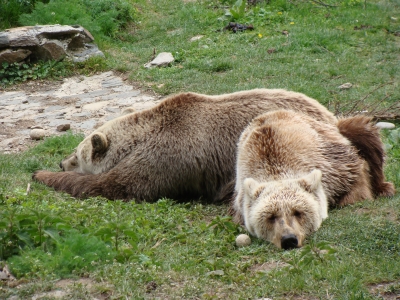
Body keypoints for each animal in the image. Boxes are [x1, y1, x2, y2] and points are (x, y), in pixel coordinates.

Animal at [32, 88, 338, 202]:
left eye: (76, 155)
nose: (61, 161)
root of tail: (330, 116)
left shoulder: (170, 154)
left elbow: (117, 185)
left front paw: (41, 174)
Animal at [231, 111, 394, 250]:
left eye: (298, 212)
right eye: (271, 216)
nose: (289, 239)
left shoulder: (333, 166)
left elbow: (356, 180)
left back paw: (385, 188)